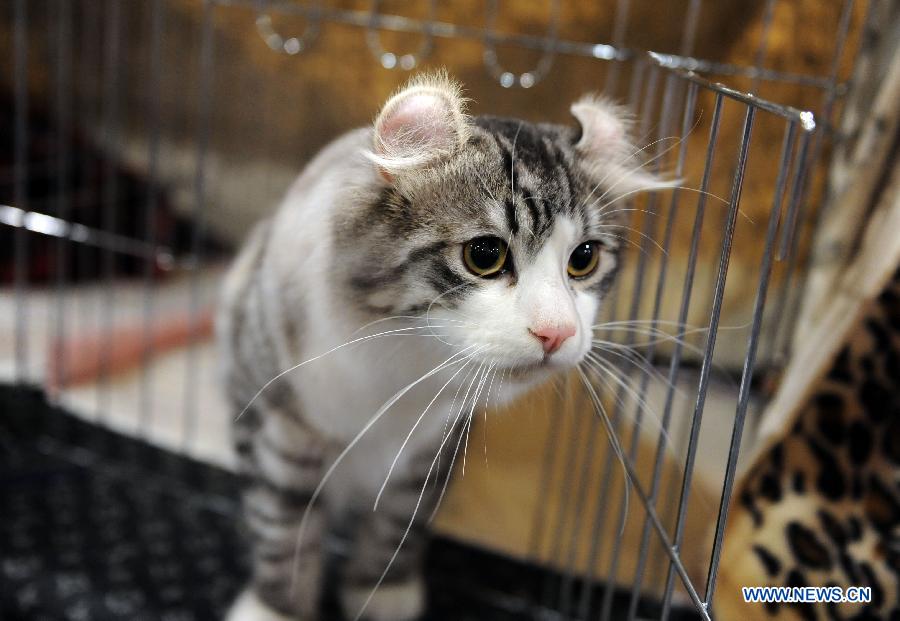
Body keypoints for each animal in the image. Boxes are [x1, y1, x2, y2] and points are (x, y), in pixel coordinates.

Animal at [218, 72, 668, 620]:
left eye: (583, 259)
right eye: (485, 255)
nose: (557, 332)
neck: (398, 373)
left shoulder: (431, 454)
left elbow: (395, 532)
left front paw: (384, 596)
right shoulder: (277, 430)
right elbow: (283, 532)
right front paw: (275, 609)